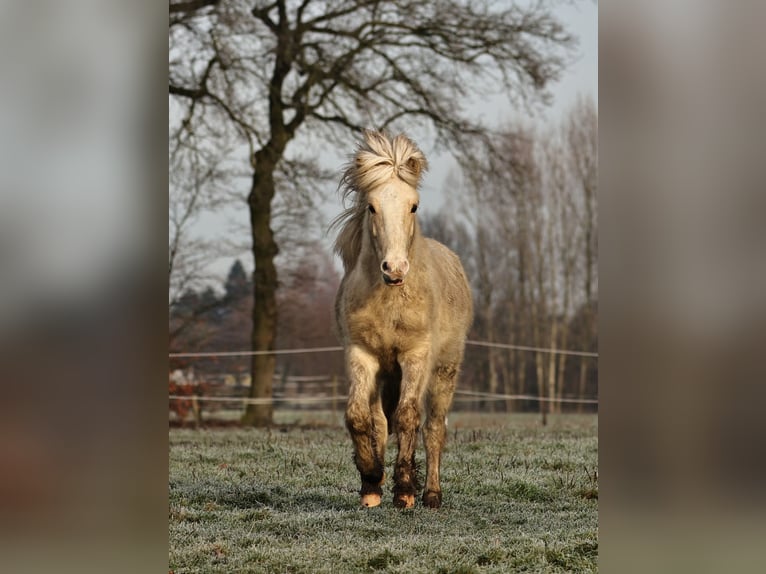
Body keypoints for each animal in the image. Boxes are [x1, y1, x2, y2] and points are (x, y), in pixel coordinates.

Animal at [332, 130, 472, 508]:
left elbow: (409, 417)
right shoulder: (361, 355)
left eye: (413, 206)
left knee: (434, 427)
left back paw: (432, 495)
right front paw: (371, 479)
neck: (390, 300)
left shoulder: (416, 356)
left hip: (444, 371)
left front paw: (405, 490)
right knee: (380, 420)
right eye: (371, 206)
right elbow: (359, 416)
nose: (394, 269)